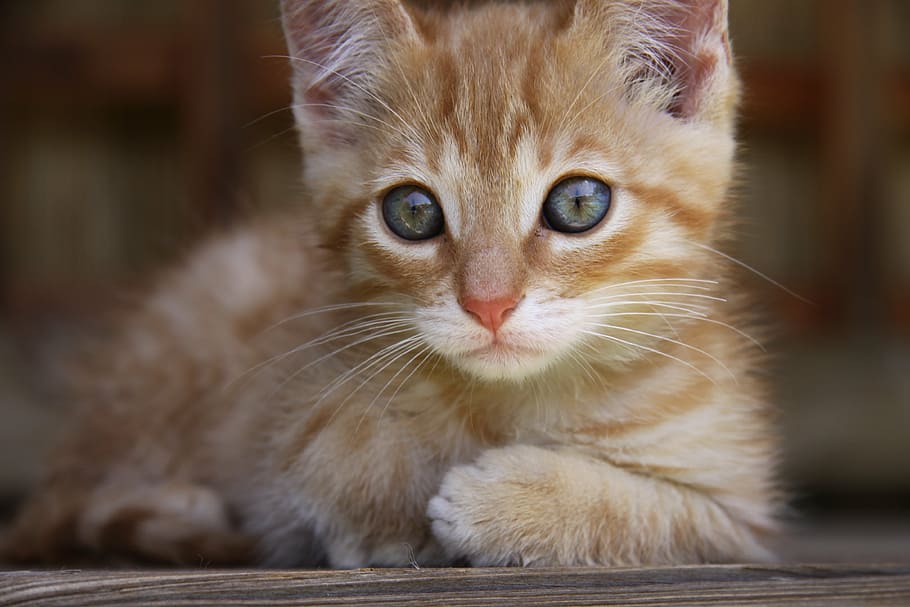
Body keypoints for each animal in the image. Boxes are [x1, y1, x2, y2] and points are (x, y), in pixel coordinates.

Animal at [3, 0, 780, 568]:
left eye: (578, 202)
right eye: (413, 212)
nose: (489, 304)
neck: (510, 400)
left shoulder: (737, 514)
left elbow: (656, 513)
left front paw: (509, 504)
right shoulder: (293, 381)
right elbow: (321, 435)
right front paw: (388, 510)